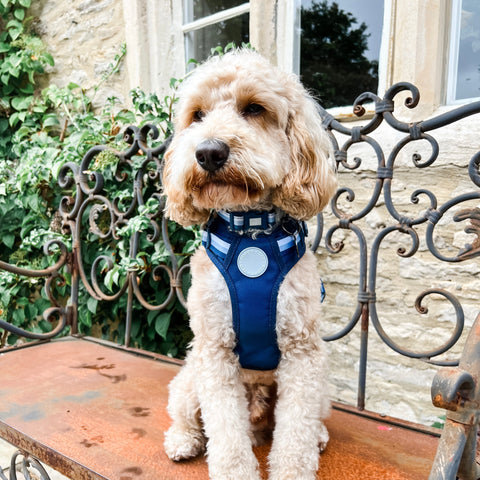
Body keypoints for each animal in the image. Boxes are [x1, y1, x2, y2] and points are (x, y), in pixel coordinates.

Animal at [161, 49, 338, 480]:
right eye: (197, 115)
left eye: (254, 108)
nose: (208, 152)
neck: (251, 231)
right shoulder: (214, 351)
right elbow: (225, 428)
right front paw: (234, 469)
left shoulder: (302, 352)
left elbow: (295, 430)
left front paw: (293, 468)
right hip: (190, 378)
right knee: (185, 413)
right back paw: (182, 440)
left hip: (323, 386)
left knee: (306, 419)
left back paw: (318, 435)